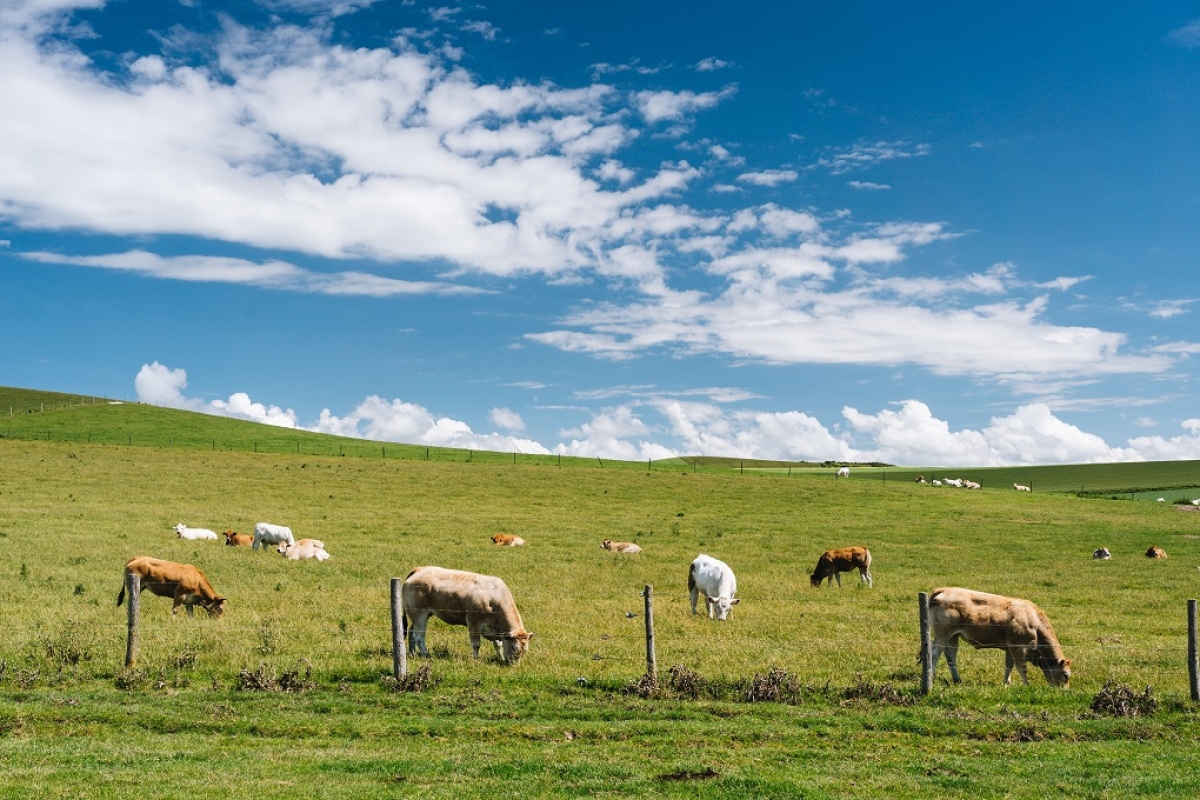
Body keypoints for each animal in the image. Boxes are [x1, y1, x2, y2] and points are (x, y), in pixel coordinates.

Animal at [400, 566, 532, 666]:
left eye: (525, 650)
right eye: (514, 648)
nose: (513, 665)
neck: (493, 597)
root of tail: (419, 569)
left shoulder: (495, 630)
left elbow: (497, 645)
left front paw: (500, 658)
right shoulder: (473, 623)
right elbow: (476, 645)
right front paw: (475, 659)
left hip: (420, 615)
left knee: (412, 632)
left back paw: (412, 653)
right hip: (419, 615)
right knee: (419, 637)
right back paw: (425, 654)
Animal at [926, 587, 1070, 690]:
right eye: (1066, 675)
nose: (1065, 691)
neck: (1033, 620)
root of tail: (944, 589)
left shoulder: (1010, 648)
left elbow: (1009, 666)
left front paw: (1006, 683)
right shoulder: (1018, 648)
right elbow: (1021, 667)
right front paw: (1026, 685)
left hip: (953, 636)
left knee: (950, 655)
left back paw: (957, 679)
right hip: (943, 634)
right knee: (934, 654)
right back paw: (931, 678)